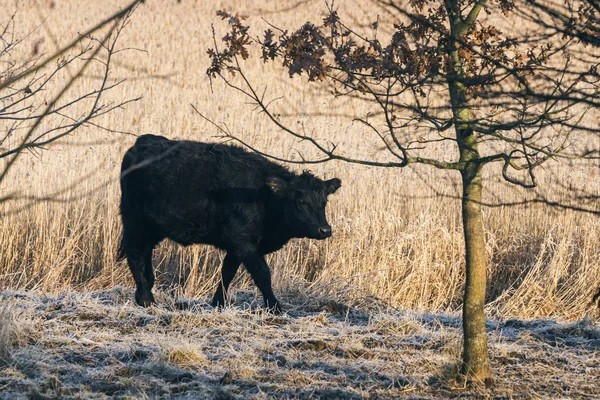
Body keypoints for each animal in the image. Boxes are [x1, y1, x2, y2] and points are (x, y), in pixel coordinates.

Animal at [118, 134, 342, 312]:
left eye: (324, 201)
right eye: (300, 202)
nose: (325, 230)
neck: (262, 197)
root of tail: (144, 141)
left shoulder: (236, 245)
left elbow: (227, 272)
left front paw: (218, 302)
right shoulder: (244, 241)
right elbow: (262, 273)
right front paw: (275, 307)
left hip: (153, 227)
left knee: (145, 253)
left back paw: (146, 291)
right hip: (135, 220)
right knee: (135, 252)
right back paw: (146, 299)